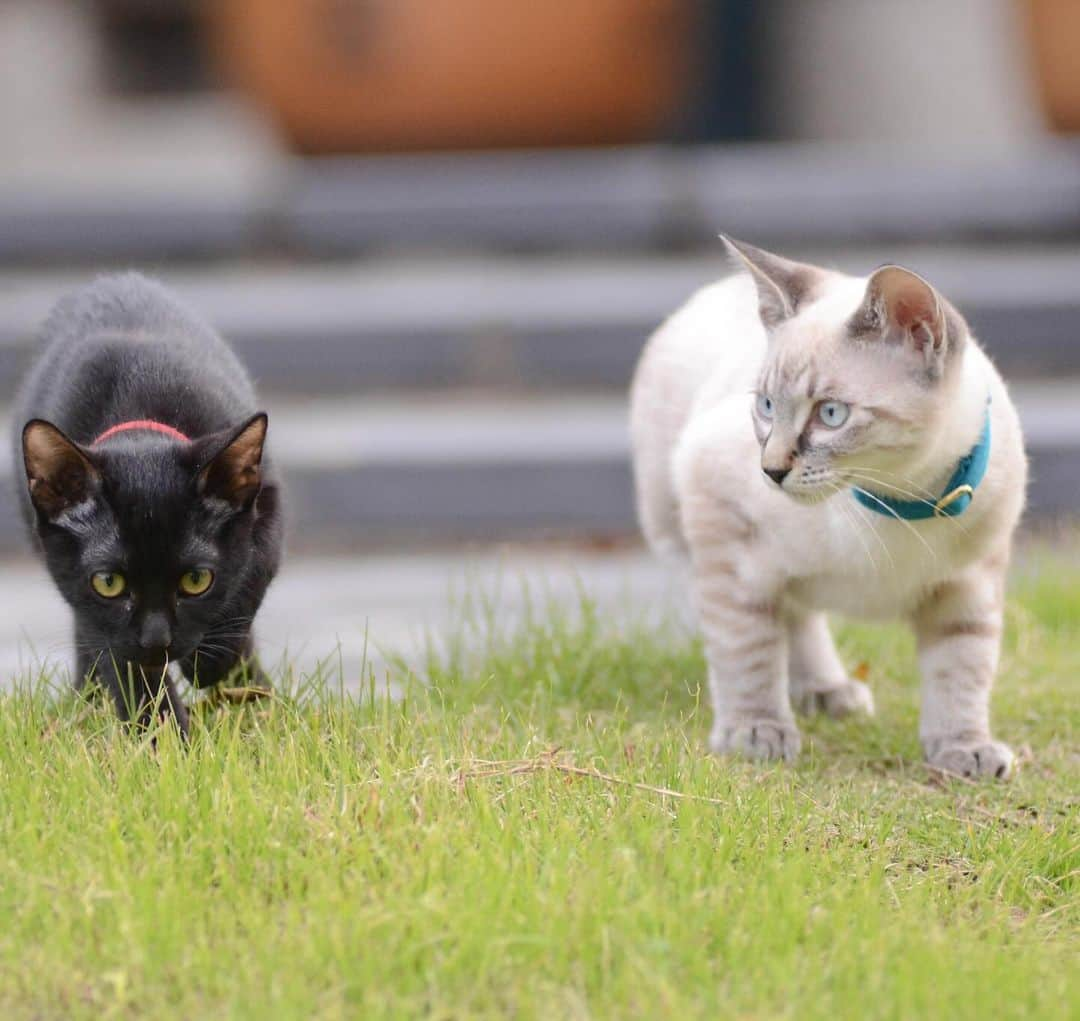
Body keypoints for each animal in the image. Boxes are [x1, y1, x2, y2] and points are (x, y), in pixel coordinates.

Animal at [13, 273, 282, 734]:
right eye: (109, 583)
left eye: (196, 580)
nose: (157, 641)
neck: (134, 395)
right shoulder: (96, 609)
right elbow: (121, 662)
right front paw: (161, 738)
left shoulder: (268, 503)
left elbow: (251, 572)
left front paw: (212, 663)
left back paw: (251, 692)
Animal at [630, 238, 1028, 777]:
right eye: (767, 407)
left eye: (831, 415)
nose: (770, 470)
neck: (901, 501)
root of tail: (714, 288)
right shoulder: (723, 522)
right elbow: (747, 645)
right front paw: (755, 731)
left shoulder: (969, 584)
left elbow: (963, 668)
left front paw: (964, 750)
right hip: (686, 529)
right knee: (782, 616)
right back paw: (812, 696)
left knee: (795, 612)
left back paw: (825, 692)